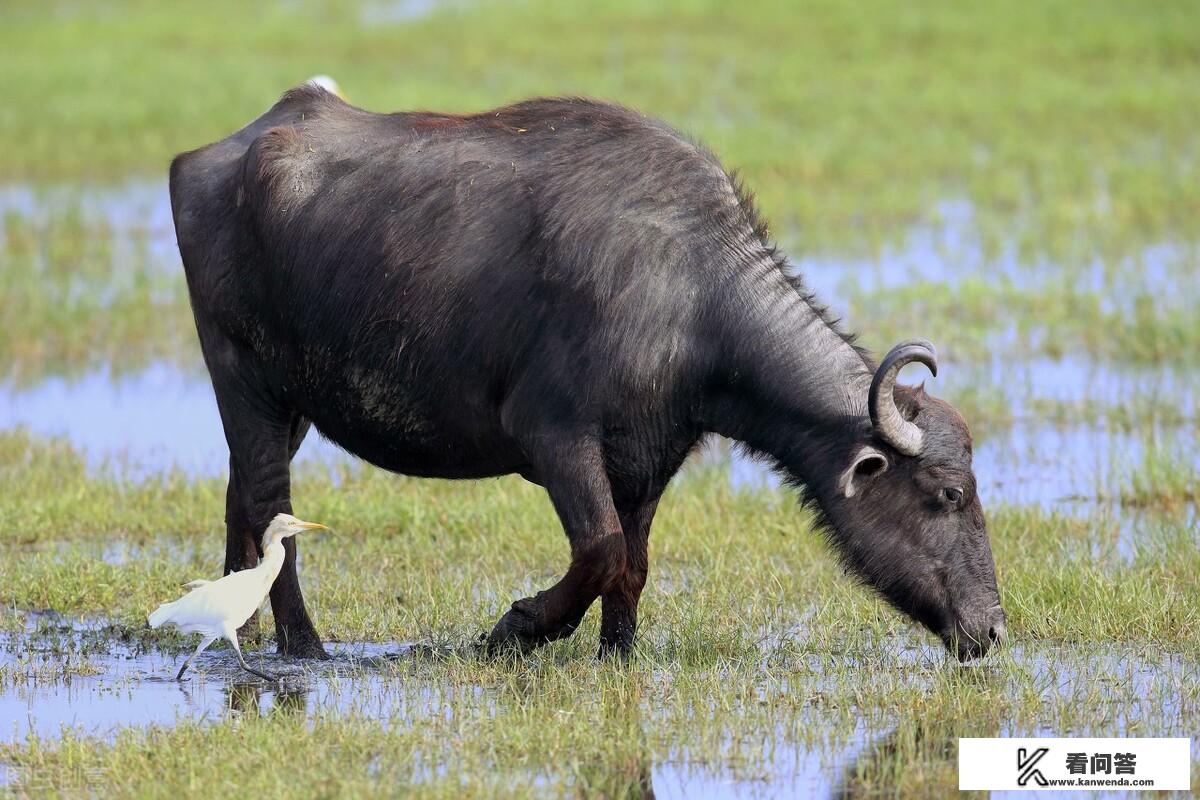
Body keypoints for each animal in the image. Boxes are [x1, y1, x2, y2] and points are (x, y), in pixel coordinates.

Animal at [169, 81, 1008, 662]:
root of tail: (211, 158)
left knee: (240, 498)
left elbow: (631, 567)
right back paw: (304, 645)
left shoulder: (647, 463)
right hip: (244, 382)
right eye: (948, 494)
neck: (692, 301)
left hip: (293, 406)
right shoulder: (557, 437)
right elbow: (600, 551)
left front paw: (617, 652)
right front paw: (515, 630)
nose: (993, 629)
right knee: (271, 505)